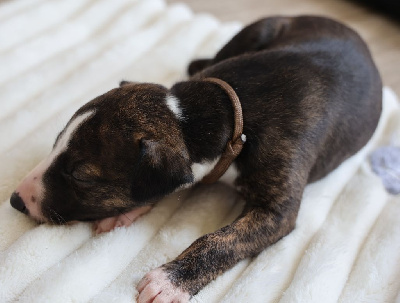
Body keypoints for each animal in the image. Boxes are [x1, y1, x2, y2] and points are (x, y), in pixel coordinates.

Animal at [10, 16, 382, 303]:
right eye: (56, 143)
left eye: (80, 175)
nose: (15, 200)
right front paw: (125, 212)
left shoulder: (276, 212)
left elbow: (219, 241)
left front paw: (168, 281)